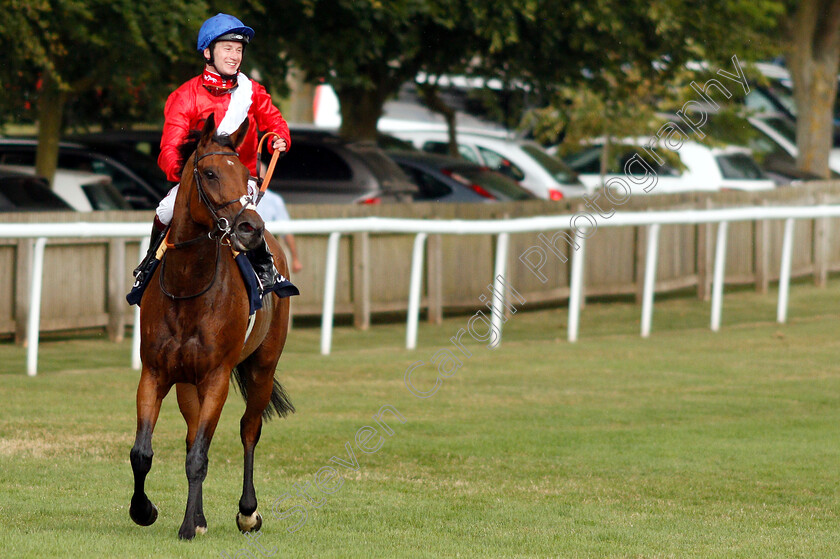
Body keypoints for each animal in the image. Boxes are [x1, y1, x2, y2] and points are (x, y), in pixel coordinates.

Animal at [126, 115, 294, 544]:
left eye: (248, 176)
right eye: (211, 172)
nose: (251, 228)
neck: (188, 287)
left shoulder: (217, 375)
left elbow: (199, 455)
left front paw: (188, 525)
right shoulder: (155, 373)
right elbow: (143, 452)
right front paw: (145, 510)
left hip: (263, 367)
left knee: (249, 429)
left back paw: (248, 513)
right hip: (189, 382)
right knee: (192, 434)